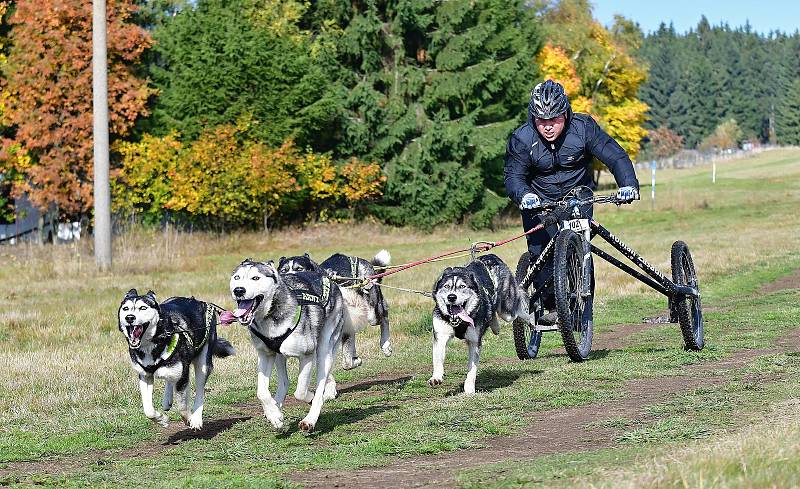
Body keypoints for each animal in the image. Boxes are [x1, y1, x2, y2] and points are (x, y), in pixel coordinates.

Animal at [117, 288, 234, 428]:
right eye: (126, 308)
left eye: (143, 308)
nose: (129, 317)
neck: (155, 342)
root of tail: (198, 301)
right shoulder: (145, 375)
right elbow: (148, 410)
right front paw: (161, 419)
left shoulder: (183, 376)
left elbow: (182, 407)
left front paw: (189, 419)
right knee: (170, 380)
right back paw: (167, 399)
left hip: (203, 364)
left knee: (200, 390)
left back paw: (196, 418)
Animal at [228, 260, 346, 430]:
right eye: (237, 277)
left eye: (255, 278)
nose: (238, 290)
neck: (270, 316)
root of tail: (325, 276)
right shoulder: (265, 355)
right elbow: (261, 392)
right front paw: (274, 414)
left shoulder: (308, 355)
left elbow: (300, 392)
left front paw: (309, 398)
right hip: (278, 355)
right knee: (284, 382)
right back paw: (275, 407)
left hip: (324, 350)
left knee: (320, 383)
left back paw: (310, 419)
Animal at [428, 254, 528, 394]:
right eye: (446, 286)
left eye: (462, 286)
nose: (451, 297)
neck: (459, 323)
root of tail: (490, 256)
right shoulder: (441, 335)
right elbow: (438, 359)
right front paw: (436, 377)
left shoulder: (474, 342)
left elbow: (472, 368)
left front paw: (469, 387)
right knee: (492, 311)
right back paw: (495, 325)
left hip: (507, 311)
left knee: (519, 306)